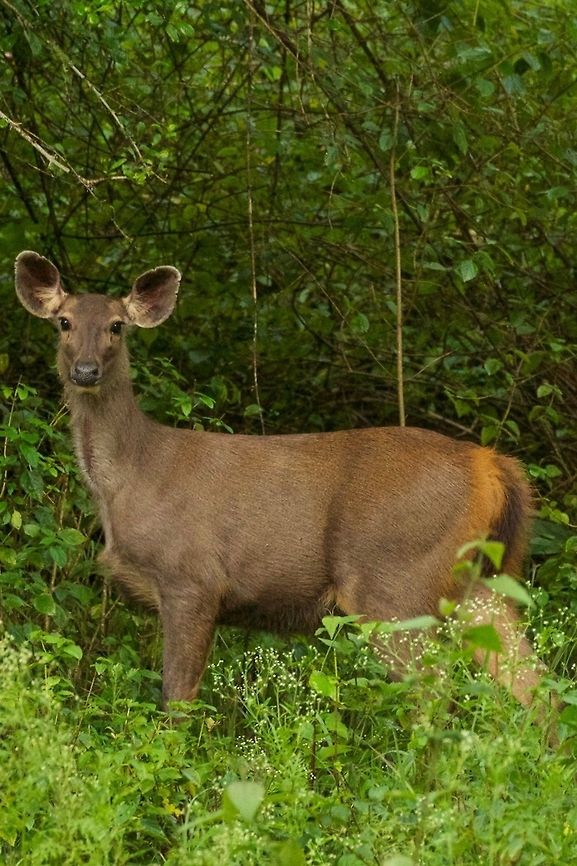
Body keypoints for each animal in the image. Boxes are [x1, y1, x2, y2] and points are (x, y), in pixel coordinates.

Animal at [15, 250, 550, 717]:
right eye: (63, 322)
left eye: (117, 326)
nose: (85, 371)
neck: (128, 478)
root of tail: (490, 464)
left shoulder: (192, 578)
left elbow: (177, 701)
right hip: (480, 580)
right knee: (535, 685)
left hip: (396, 580)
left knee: (434, 695)